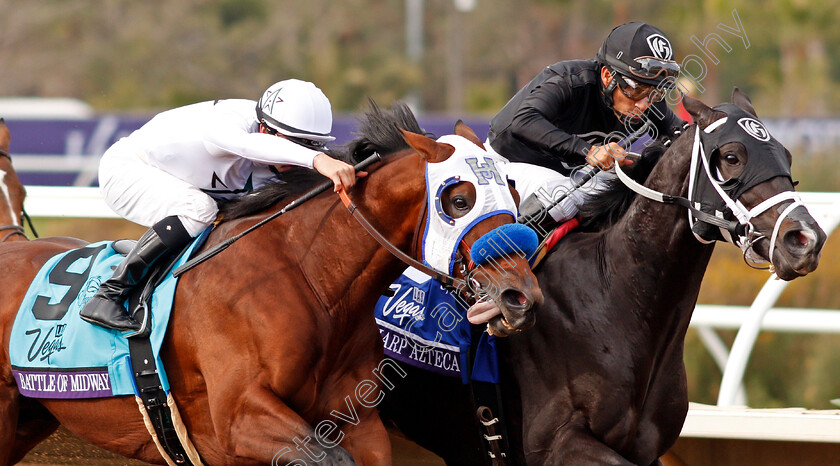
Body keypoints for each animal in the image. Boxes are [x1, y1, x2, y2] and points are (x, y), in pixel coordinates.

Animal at [0, 104, 544, 464]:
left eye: (513, 189)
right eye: (459, 199)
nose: (521, 297)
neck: (313, 280)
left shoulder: (358, 421)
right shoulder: (241, 419)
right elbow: (325, 457)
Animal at [380, 89, 828, 464]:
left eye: (786, 155)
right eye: (732, 156)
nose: (806, 239)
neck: (614, 296)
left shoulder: (644, 449)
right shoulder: (556, 442)